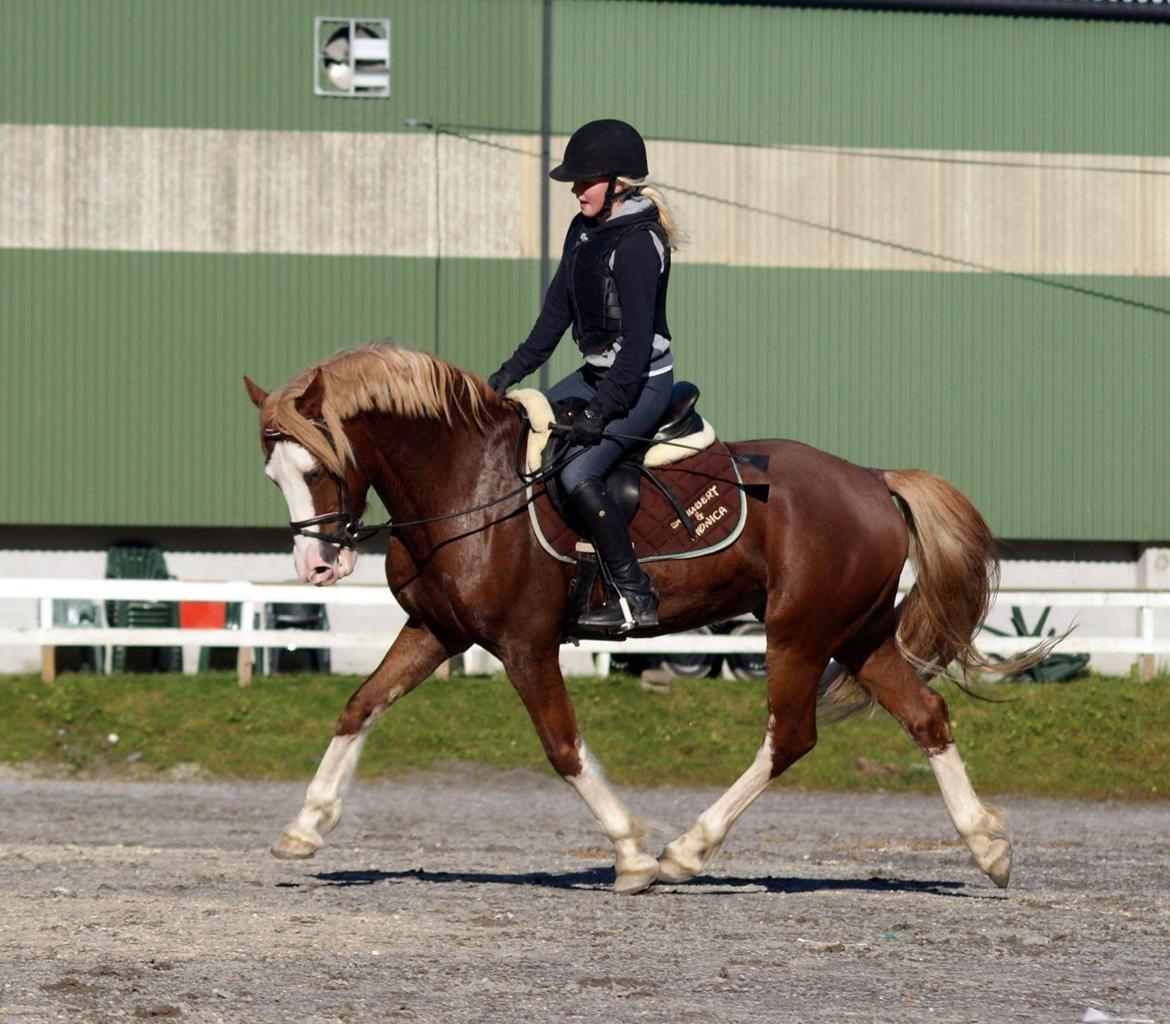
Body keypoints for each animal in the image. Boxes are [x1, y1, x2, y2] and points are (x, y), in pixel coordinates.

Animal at [246, 339, 1034, 894]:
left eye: (318, 467)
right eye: (273, 475)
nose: (317, 569)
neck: (467, 484)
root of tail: (871, 480)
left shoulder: (525, 644)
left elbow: (563, 747)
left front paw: (631, 853)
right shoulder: (437, 632)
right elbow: (360, 705)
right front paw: (305, 827)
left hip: (799, 636)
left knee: (790, 737)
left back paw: (688, 851)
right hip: (857, 634)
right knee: (926, 716)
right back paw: (987, 845)